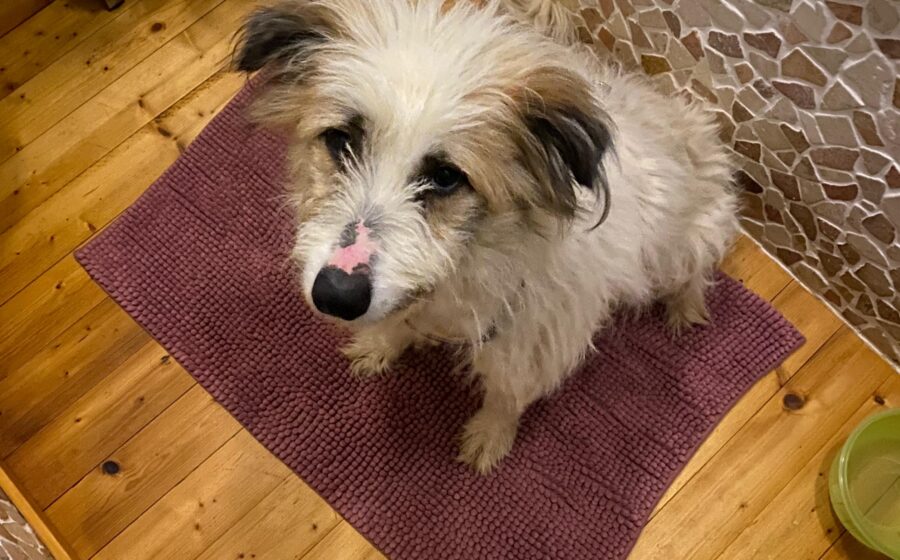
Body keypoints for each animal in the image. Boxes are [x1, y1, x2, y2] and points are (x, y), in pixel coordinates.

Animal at [234, 0, 739, 474]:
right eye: (341, 140)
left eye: (445, 177)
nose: (337, 295)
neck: (473, 259)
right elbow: (398, 322)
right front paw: (380, 345)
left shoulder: (531, 343)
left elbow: (507, 395)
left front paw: (490, 437)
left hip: (681, 245)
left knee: (694, 271)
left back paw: (685, 308)